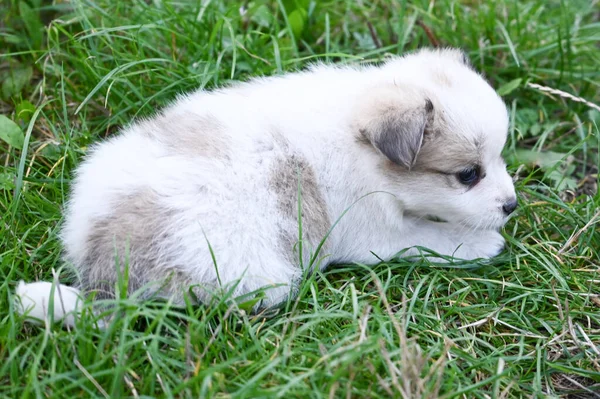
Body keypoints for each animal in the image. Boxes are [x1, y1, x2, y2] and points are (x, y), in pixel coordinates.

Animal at [16, 48, 516, 326]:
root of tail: (106, 265)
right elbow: (428, 238)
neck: (360, 146)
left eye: (499, 157)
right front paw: (480, 243)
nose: (512, 206)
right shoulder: (375, 233)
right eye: (468, 174)